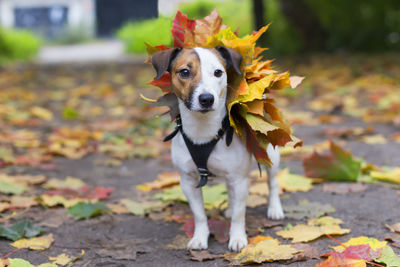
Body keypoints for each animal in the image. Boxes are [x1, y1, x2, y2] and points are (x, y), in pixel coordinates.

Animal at [151, 46, 284, 253]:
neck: (203, 132)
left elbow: (239, 213)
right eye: (184, 72)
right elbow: (199, 214)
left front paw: (237, 238)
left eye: (218, 72)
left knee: (272, 182)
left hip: (270, 154)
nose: (206, 99)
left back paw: (275, 209)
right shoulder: (188, 181)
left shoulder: (240, 179)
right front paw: (200, 237)